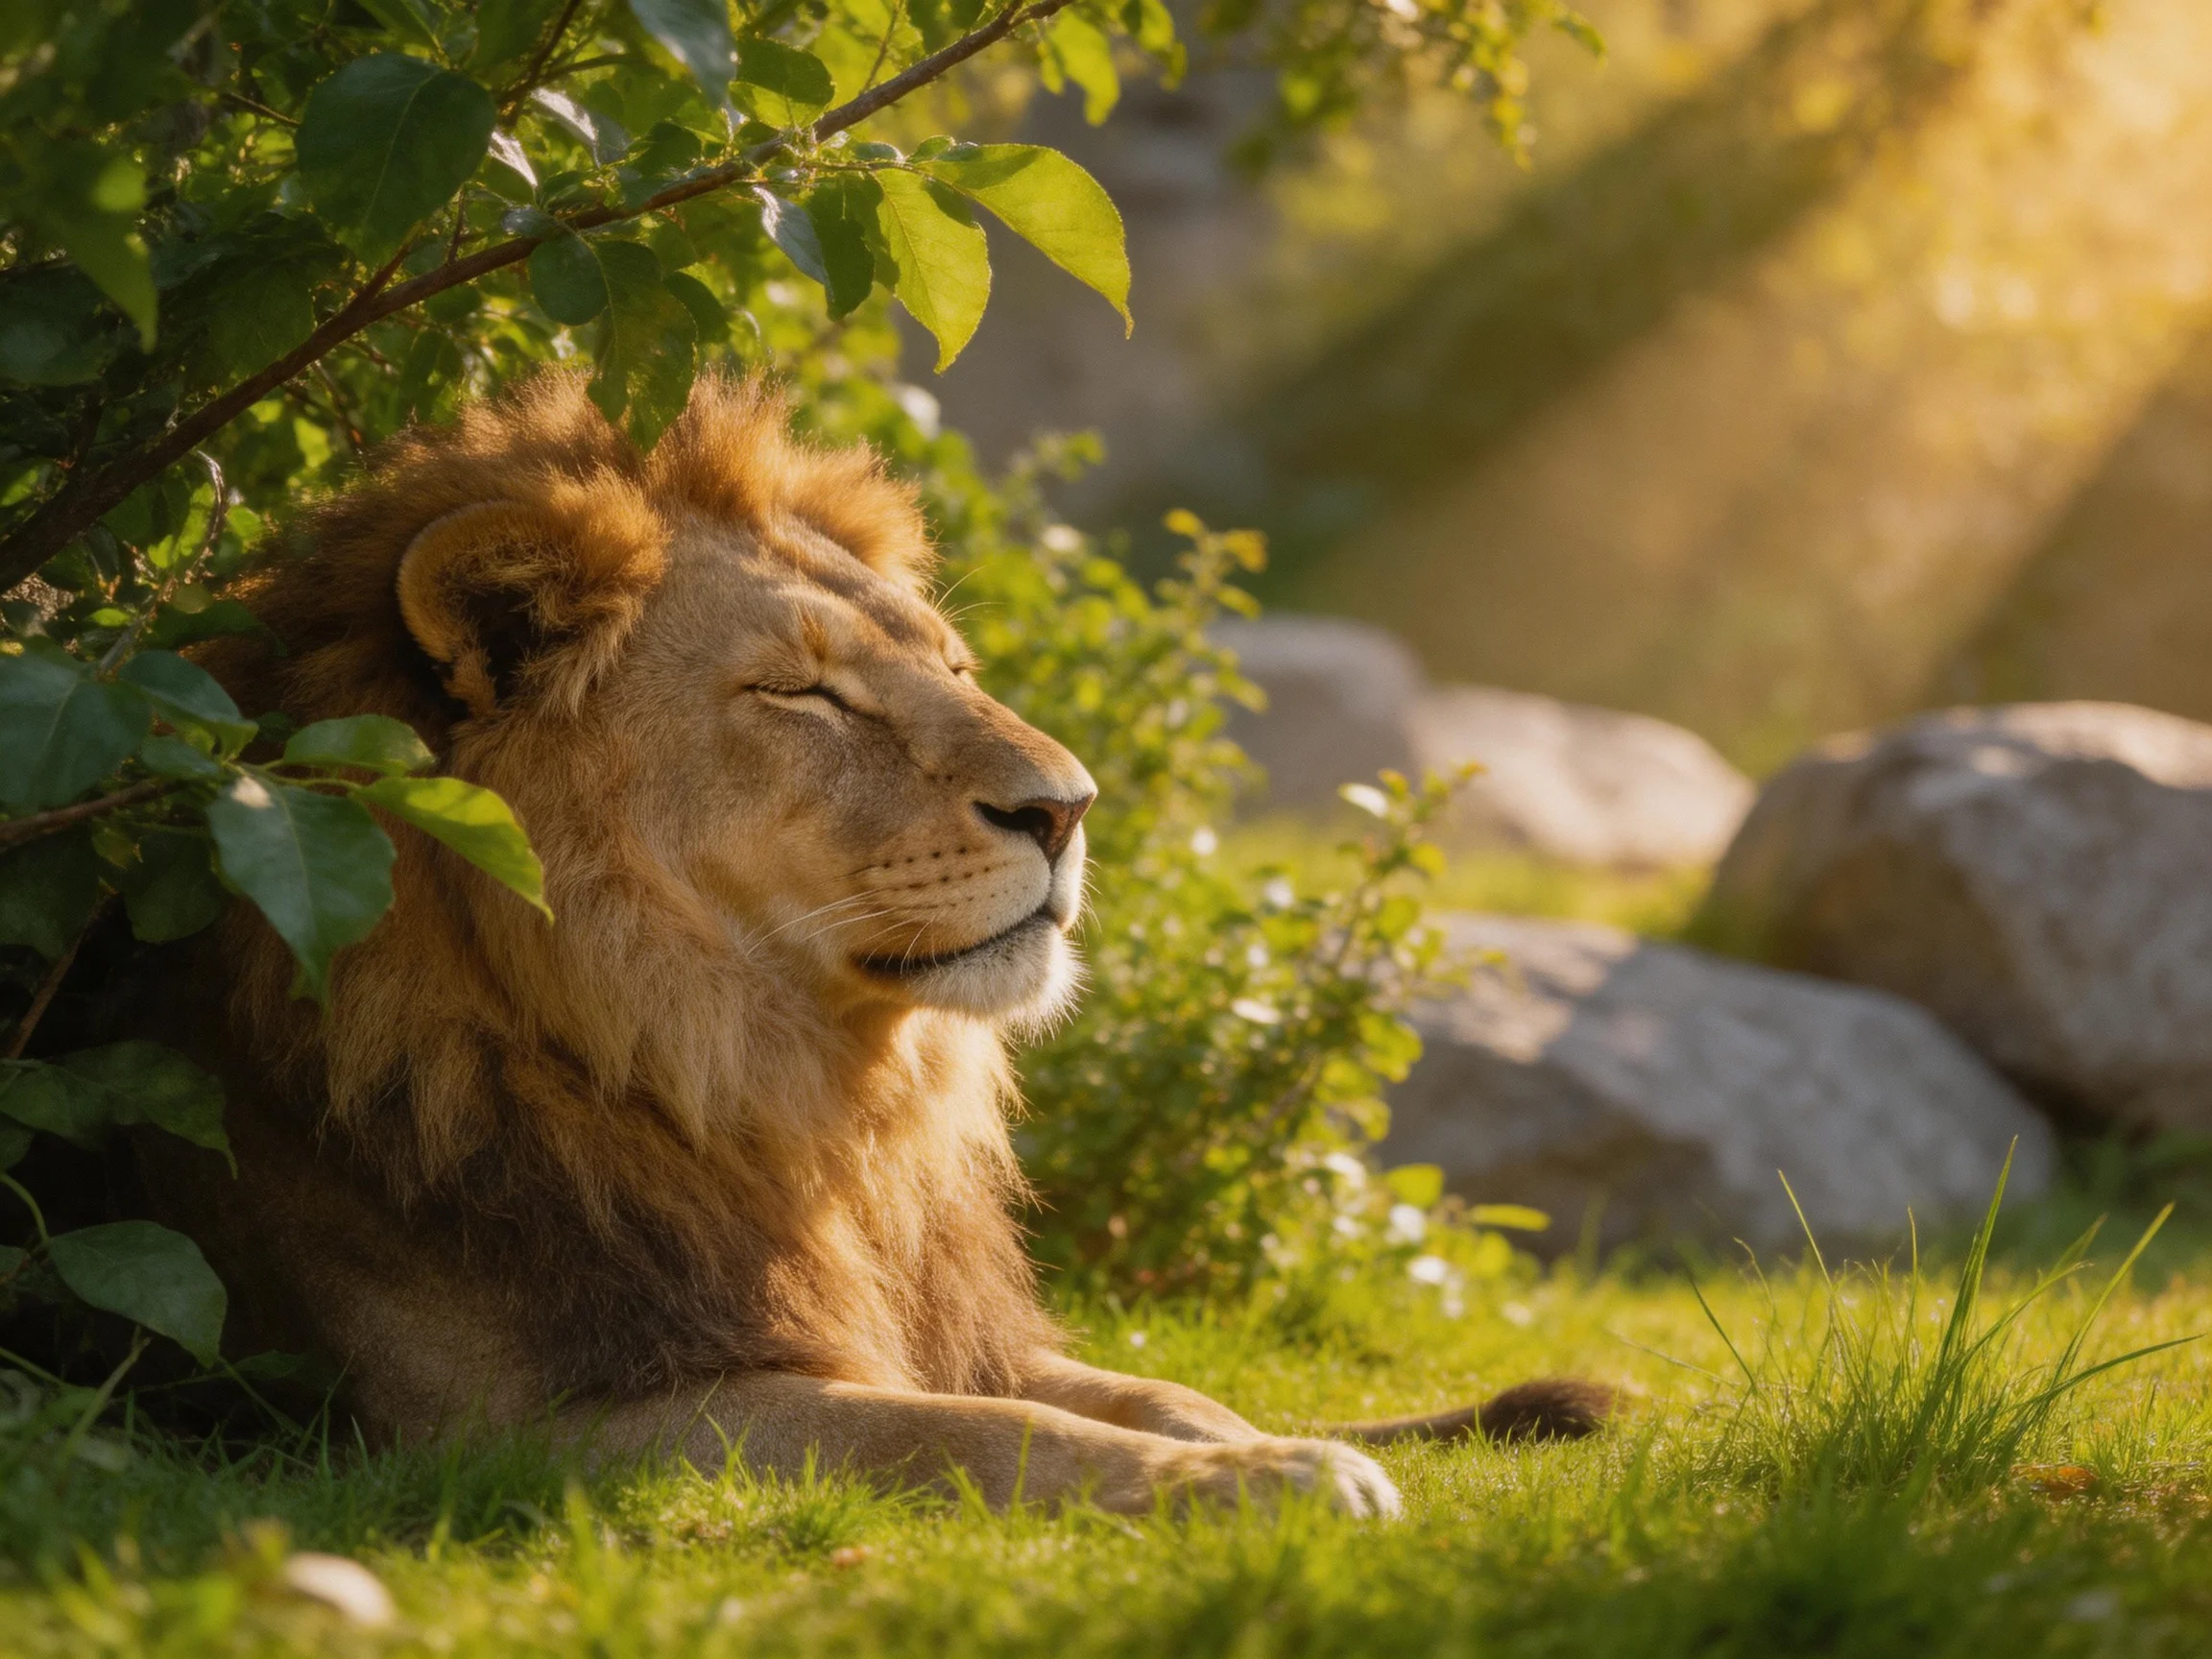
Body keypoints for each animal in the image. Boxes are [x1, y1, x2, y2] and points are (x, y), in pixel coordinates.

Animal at [137, 374, 1606, 1516]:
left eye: (951, 669)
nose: (1070, 807)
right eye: (804, 692)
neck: (765, 1096)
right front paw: (1267, 1481)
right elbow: (974, 1432)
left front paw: (1262, 1445)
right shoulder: (522, 1434)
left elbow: (1161, 1388)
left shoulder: (937, 1321)